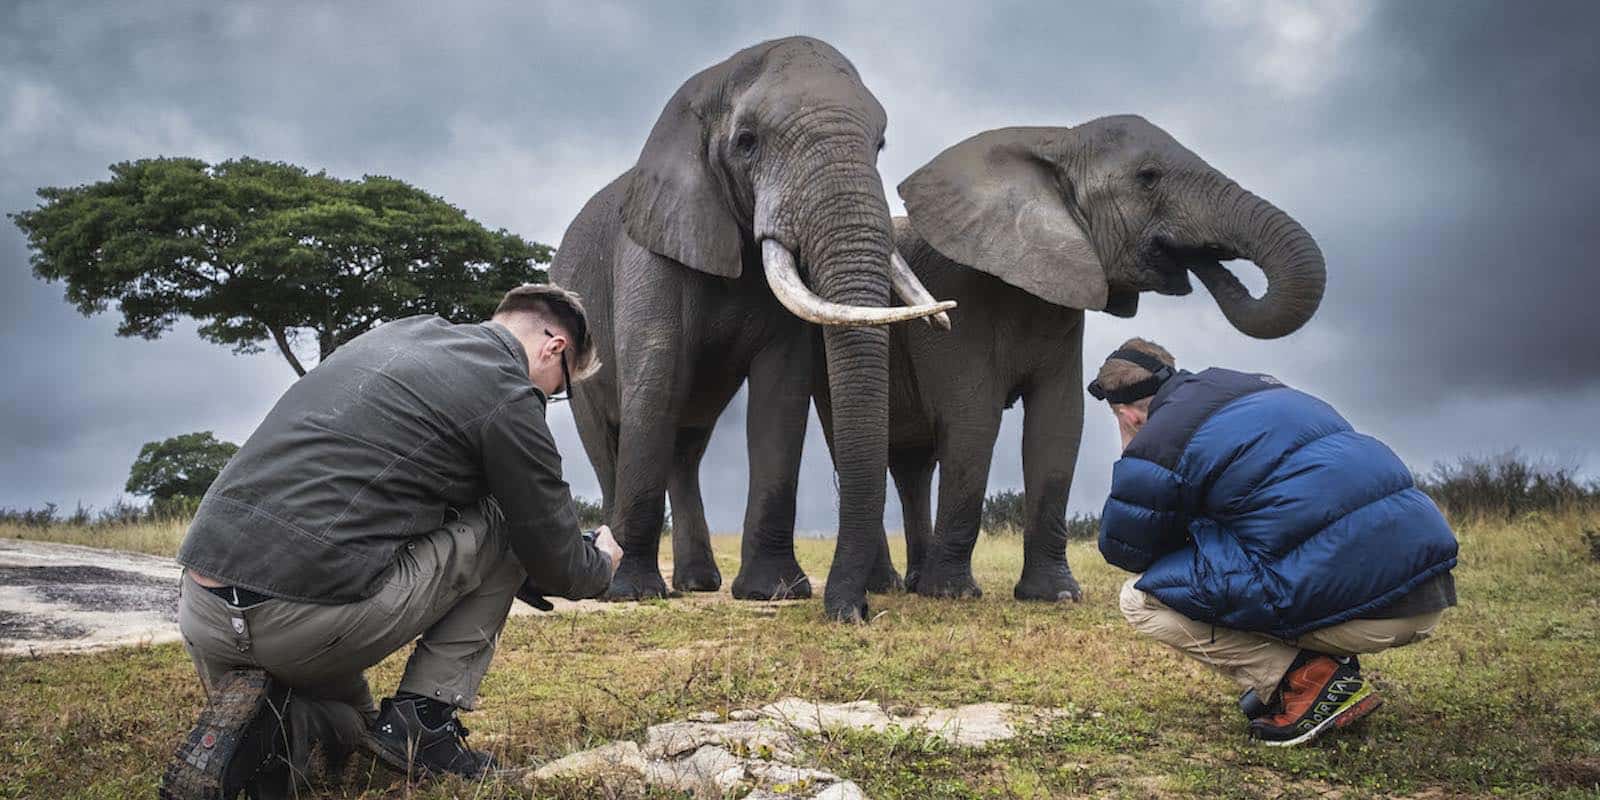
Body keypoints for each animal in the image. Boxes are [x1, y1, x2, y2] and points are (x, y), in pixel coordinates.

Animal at [550, 36, 947, 624]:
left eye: (879, 145)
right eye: (747, 143)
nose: (854, 612)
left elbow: (781, 393)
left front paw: (773, 592)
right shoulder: (649, 251)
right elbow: (656, 376)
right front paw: (634, 593)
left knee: (686, 450)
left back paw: (697, 583)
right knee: (607, 443)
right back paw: (617, 583)